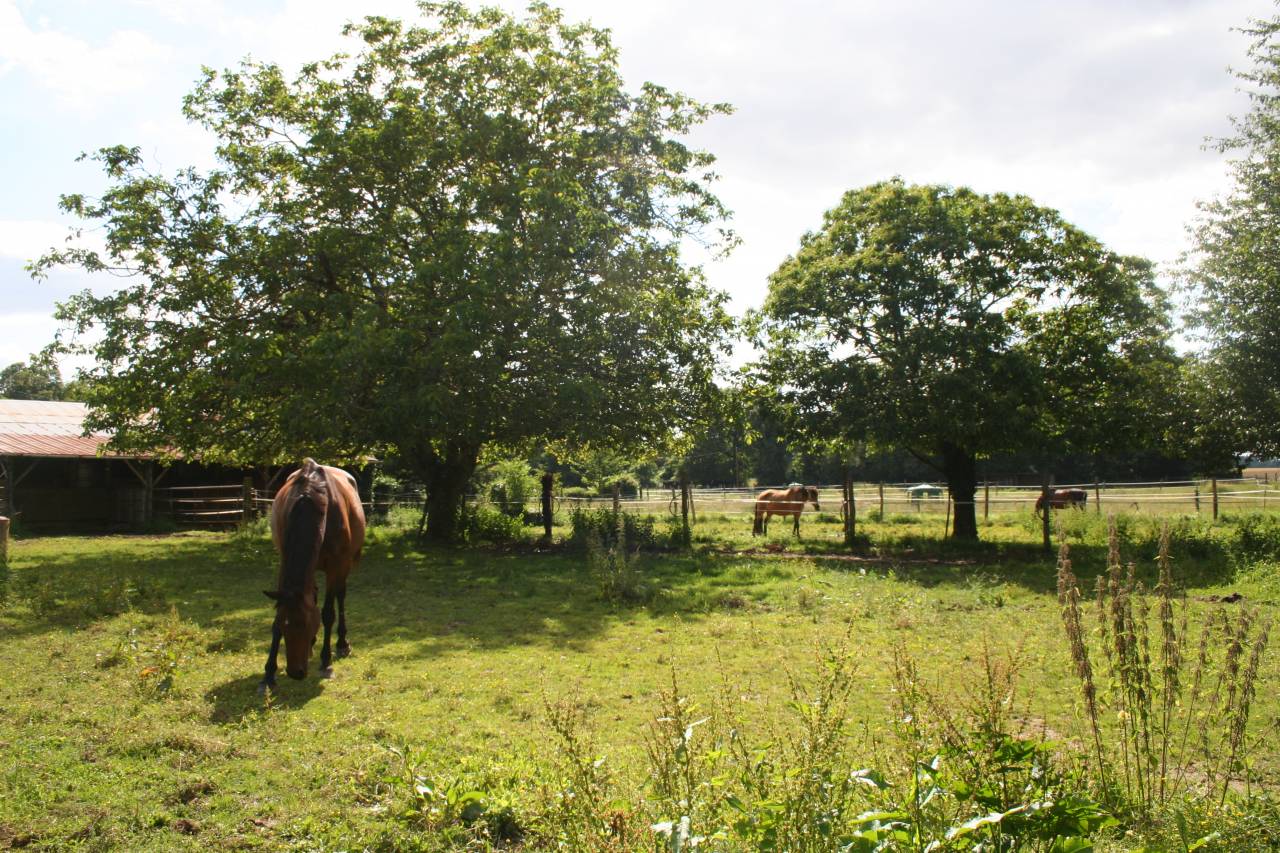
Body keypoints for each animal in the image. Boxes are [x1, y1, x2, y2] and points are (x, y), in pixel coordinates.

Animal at [260, 459, 365, 691]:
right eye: (284, 628)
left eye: (305, 625)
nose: (295, 672)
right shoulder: (285, 562)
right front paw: (269, 673)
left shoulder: (336, 566)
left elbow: (327, 613)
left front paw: (326, 661)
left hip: (344, 566)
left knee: (340, 596)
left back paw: (341, 643)